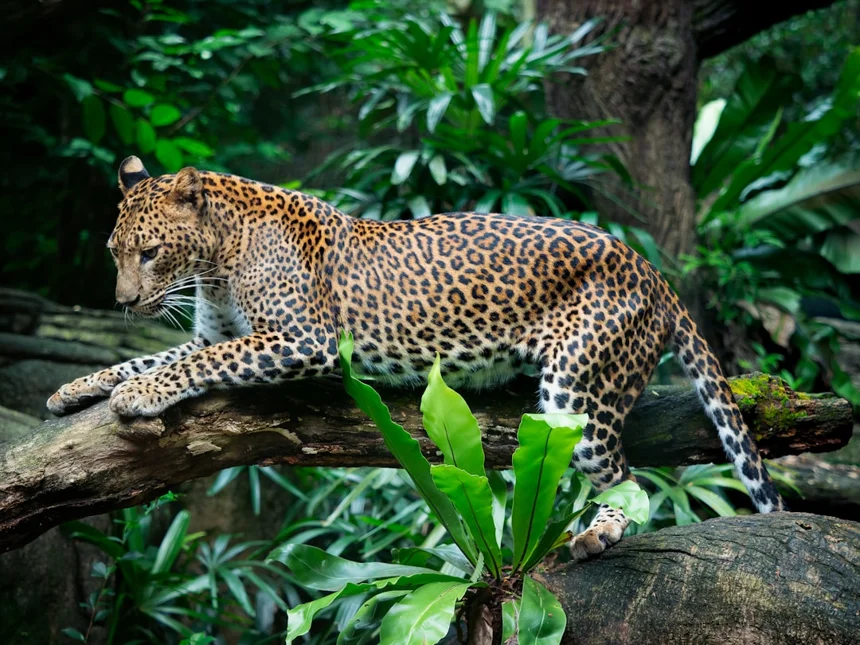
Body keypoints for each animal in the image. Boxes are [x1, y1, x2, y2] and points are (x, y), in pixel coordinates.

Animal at [48, 156, 787, 560]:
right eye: (116, 251)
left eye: (149, 252)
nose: (123, 303)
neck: (216, 261)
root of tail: (646, 264)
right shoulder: (214, 334)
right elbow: (158, 356)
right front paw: (76, 387)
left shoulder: (300, 339)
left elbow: (189, 365)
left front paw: (138, 396)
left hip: (578, 389)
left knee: (628, 480)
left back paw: (601, 533)